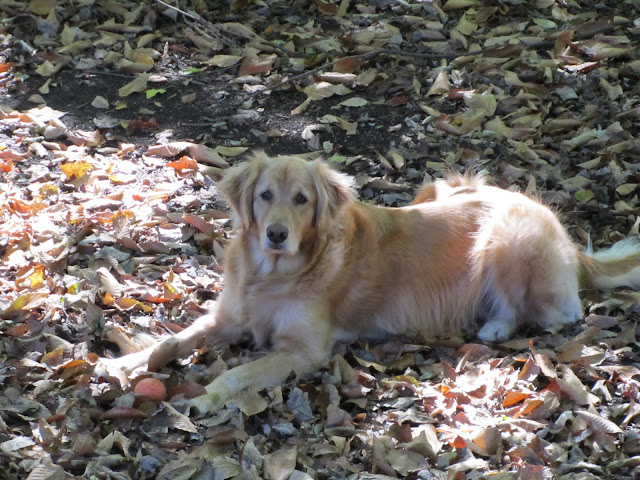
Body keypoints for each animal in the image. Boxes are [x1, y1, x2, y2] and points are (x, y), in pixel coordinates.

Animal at [102, 152, 640, 414]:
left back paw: (494, 327)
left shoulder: (304, 351)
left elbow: (238, 373)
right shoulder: (227, 318)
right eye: (265, 195)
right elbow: (169, 342)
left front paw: (207, 396)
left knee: (554, 313)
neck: (270, 275)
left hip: (507, 237)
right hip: (444, 186)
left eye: (302, 199)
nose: (276, 234)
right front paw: (120, 364)